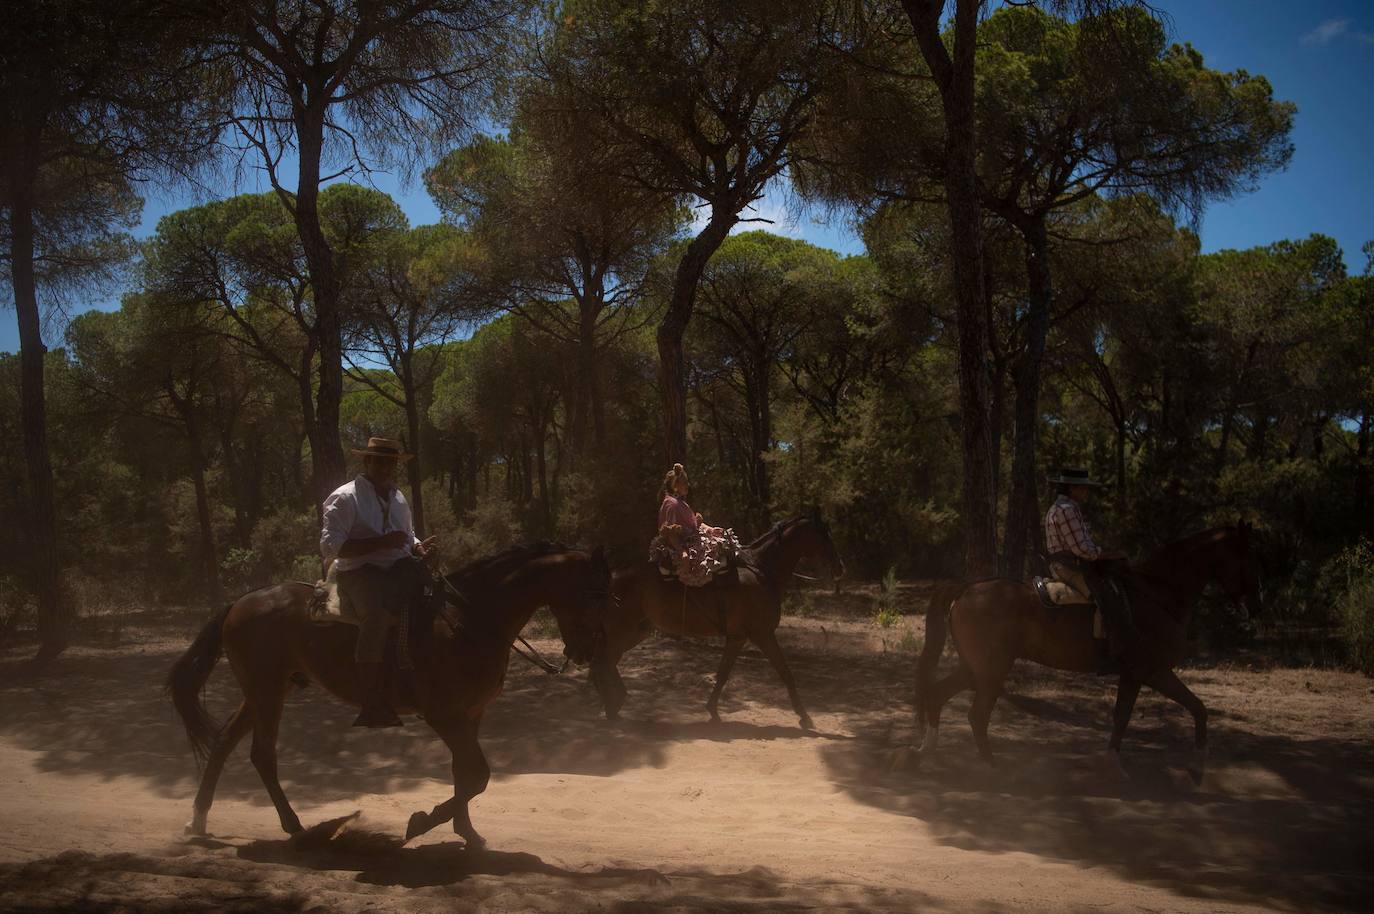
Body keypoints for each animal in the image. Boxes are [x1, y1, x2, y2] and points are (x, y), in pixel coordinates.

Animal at [166, 538, 607, 846]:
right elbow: (478, 774)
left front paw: (466, 832)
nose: (586, 651)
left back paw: (198, 821)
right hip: (267, 691)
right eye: (590, 594)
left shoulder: (471, 714)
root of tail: (240, 602)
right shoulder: (444, 715)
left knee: (224, 742)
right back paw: (294, 825)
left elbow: (464, 774)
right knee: (262, 754)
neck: (467, 620)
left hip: (263, 691)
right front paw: (422, 822)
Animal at [593, 508, 846, 731]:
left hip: (636, 631)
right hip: (621, 631)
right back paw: (613, 705)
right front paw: (805, 717)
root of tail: (612, 577)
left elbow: (724, 673)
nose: (840, 568)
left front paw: (712, 710)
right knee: (604, 661)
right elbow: (785, 673)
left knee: (605, 662)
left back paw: (613, 705)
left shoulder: (737, 638)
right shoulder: (761, 635)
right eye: (824, 535)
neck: (761, 572)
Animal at [917, 525, 1258, 775]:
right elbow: (1173, 710)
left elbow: (1162, 711)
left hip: (975, 669)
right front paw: (1195, 766)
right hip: (991, 672)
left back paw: (928, 749)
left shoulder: (1142, 674)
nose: (1255, 602)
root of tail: (966, 589)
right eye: (1247, 558)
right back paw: (989, 764)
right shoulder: (1150, 672)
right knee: (976, 715)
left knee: (938, 695)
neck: (1158, 595)